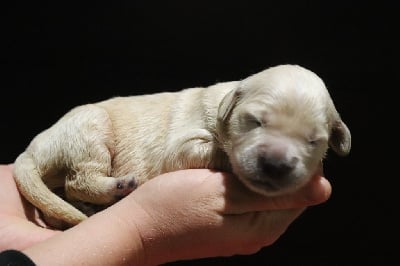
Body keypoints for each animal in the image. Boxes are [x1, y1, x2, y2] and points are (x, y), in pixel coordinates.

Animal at [12, 64, 352, 229]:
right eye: (255, 121)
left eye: (314, 141)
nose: (276, 165)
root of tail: (31, 150)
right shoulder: (181, 146)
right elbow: (201, 152)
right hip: (89, 130)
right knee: (77, 180)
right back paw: (117, 187)